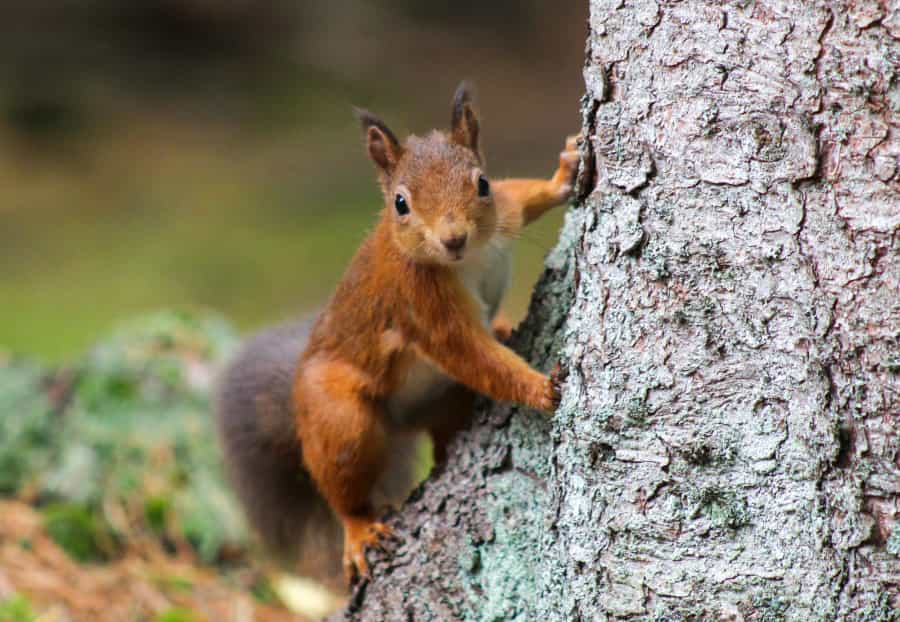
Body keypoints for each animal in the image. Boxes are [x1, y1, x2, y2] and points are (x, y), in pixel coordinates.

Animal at [216, 82, 578, 584]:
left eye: (482, 183)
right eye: (400, 204)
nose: (453, 238)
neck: (467, 259)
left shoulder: (503, 214)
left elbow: (521, 195)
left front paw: (565, 173)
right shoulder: (421, 305)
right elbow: (472, 354)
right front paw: (542, 388)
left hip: (444, 402)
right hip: (339, 417)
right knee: (342, 482)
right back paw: (358, 530)